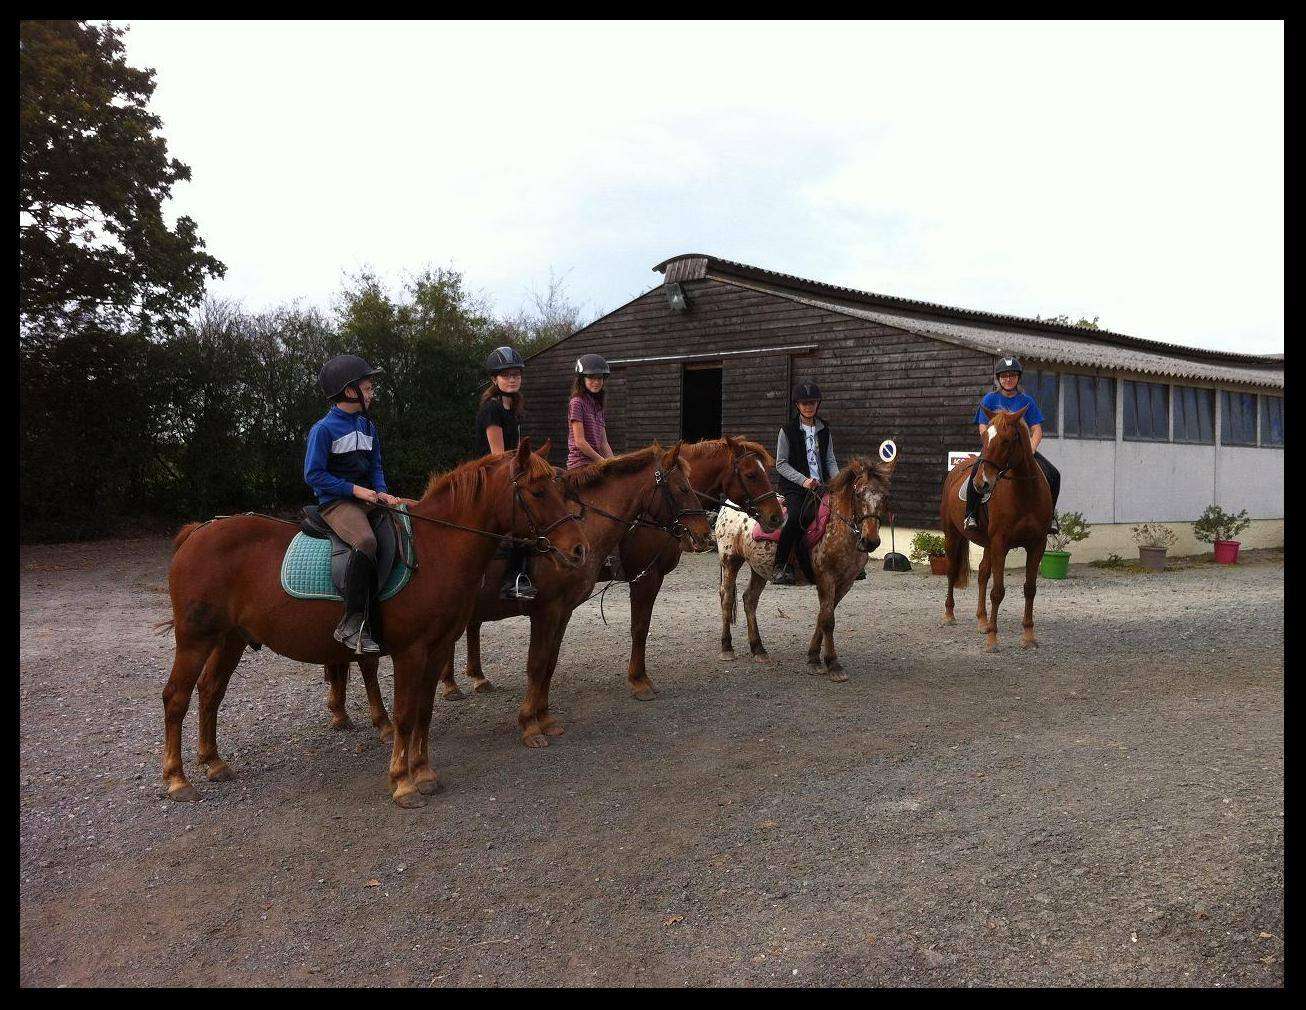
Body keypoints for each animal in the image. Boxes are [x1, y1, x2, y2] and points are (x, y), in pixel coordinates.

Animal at [715, 454, 898, 679]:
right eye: (858, 494)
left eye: (885, 496)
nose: (870, 541)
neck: (839, 528)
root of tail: (728, 504)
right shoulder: (826, 578)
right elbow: (828, 620)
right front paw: (833, 664)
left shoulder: (845, 583)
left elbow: (823, 616)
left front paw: (813, 658)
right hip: (730, 559)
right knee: (727, 598)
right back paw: (727, 648)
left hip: (759, 568)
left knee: (750, 599)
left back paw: (758, 649)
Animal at [940, 405, 1050, 650]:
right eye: (984, 438)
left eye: (1007, 440)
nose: (981, 484)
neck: (1024, 493)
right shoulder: (1001, 543)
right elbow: (998, 592)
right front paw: (992, 639)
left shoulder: (1037, 544)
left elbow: (1030, 588)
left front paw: (1028, 636)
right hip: (952, 535)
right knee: (952, 570)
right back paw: (950, 615)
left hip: (987, 544)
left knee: (982, 574)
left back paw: (982, 621)